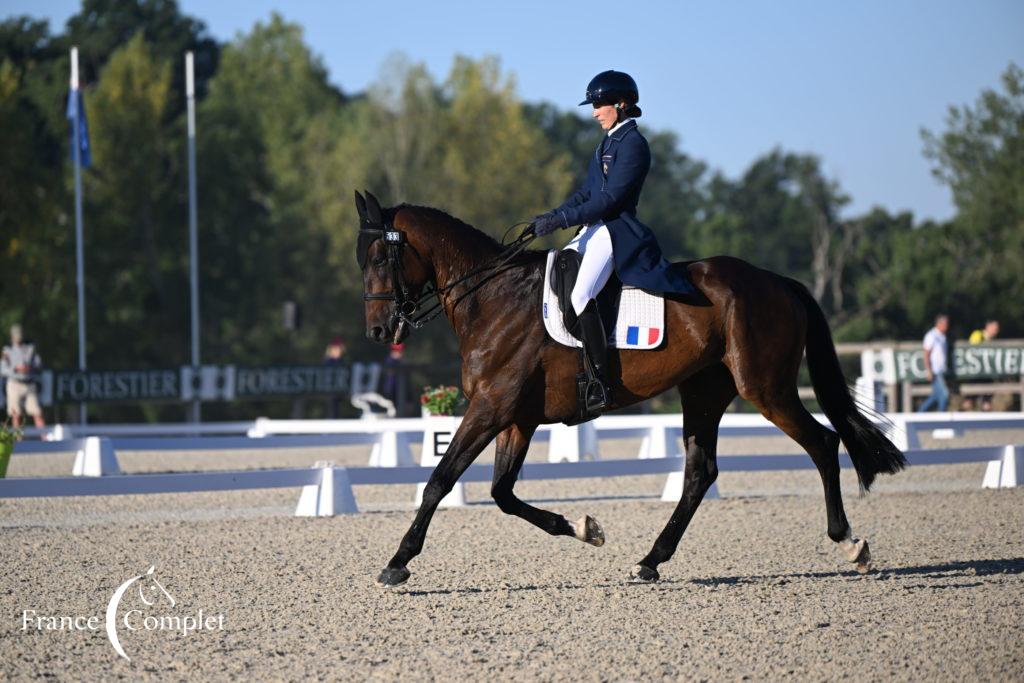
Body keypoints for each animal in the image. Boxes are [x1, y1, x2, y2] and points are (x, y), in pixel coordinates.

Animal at [356, 191, 909, 589]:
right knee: (700, 473)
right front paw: (586, 529)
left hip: (765, 388)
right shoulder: (516, 417)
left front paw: (397, 562)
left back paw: (850, 544)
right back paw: (650, 561)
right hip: (704, 391)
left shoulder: (491, 408)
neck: (493, 297)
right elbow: (502, 493)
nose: (379, 331)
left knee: (823, 443)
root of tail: (777, 281)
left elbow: (439, 481)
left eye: (382, 256)